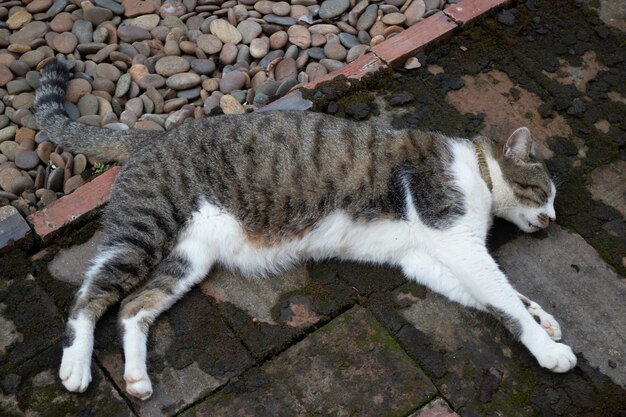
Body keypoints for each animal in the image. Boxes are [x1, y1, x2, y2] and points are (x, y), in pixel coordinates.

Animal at [31, 59, 572, 400]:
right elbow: (502, 299)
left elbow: (501, 296)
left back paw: (137, 379)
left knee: (132, 309)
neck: (477, 172)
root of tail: (148, 137)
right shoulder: (455, 240)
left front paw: (545, 318)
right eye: (543, 192)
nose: (552, 219)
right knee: (89, 298)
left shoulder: (424, 258)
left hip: (188, 259)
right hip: (143, 231)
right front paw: (549, 349)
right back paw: (76, 367)